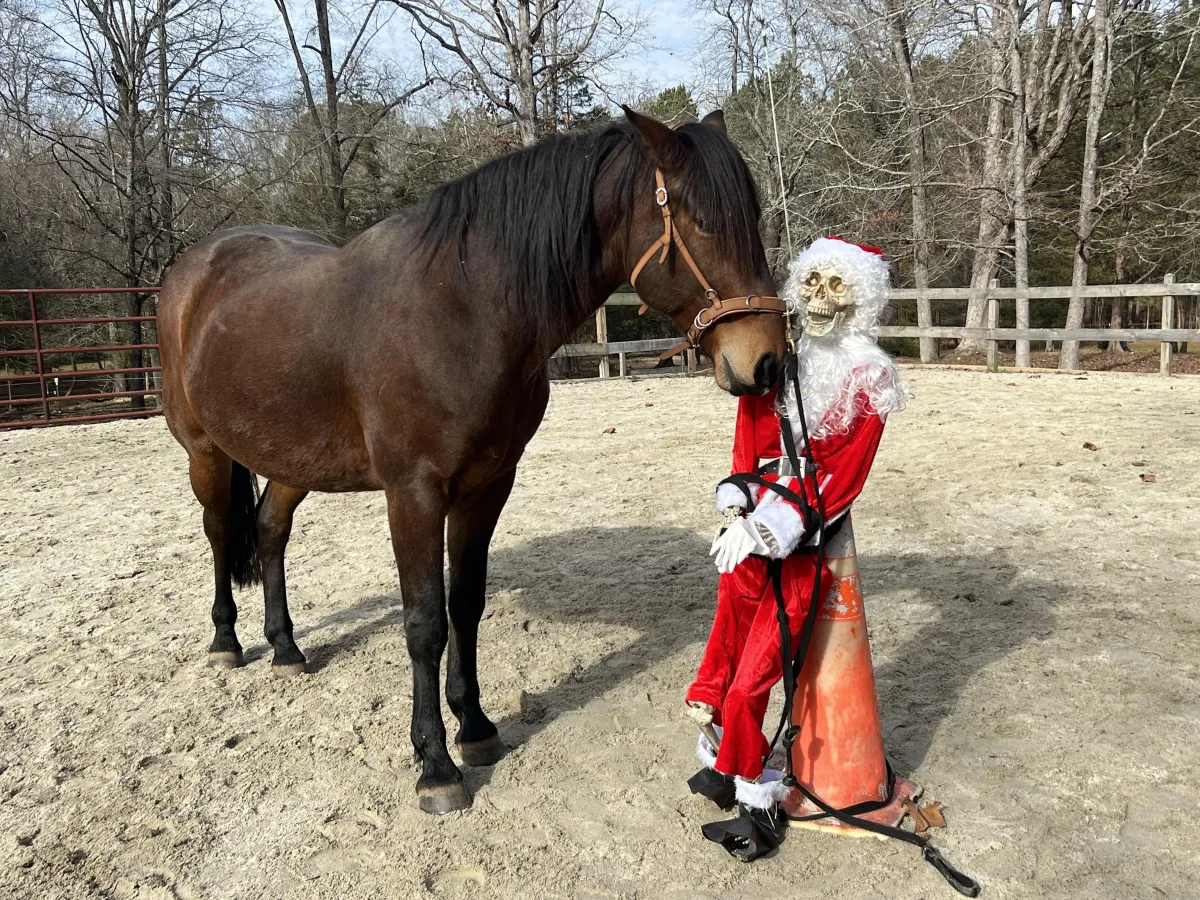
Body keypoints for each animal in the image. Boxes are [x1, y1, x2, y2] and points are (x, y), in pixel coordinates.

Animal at [157, 107, 787, 815]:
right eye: (703, 221)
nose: (768, 360)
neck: (464, 309)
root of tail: (195, 268)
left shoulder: (487, 486)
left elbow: (465, 605)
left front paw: (477, 727)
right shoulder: (414, 494)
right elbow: (425, 622)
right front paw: (435, 764)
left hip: (296, 459)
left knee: (269, 528)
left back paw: (287, 647)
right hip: (205, 451)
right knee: (219, 532)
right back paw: (226, 642)